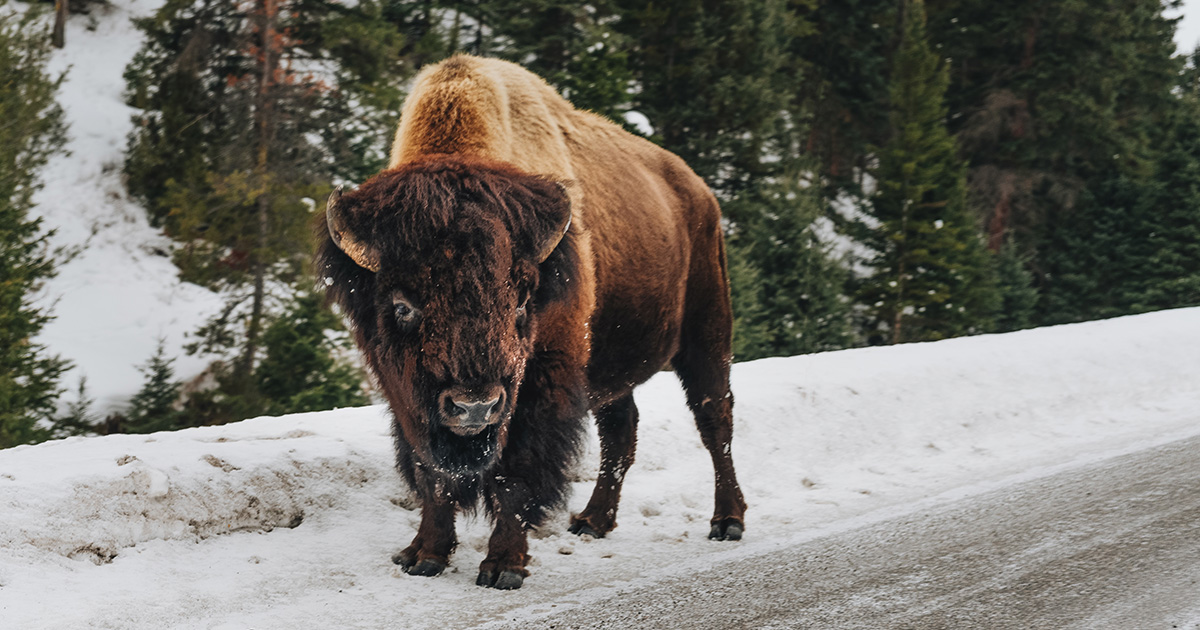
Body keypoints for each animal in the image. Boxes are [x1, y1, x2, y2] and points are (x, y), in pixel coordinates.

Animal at [317, 55, 746, 590]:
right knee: (621, 430)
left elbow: (515, 476)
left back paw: (727, 521)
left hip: (707, 334)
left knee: (714, 419)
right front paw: (423, 556)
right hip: (611, 365)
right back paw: (593, 521)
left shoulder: (538, 389)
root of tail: (698, 191)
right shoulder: (409, 401)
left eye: (522, 302)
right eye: (402, 306)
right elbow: (432, 475)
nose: (475, 406)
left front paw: (504, 566)